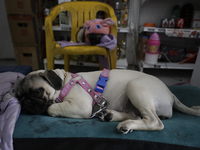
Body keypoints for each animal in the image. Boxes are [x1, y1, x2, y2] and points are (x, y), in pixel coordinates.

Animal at [16, 69, 200, 134]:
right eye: (18, 96)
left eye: (38, 91)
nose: (25, 102)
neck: (64, 81)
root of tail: (171, 95)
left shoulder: (80, 106)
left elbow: (51, 108)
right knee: (137, 115)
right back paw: (110, 115)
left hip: (135, 87)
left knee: (154, 122)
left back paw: (126, 125)